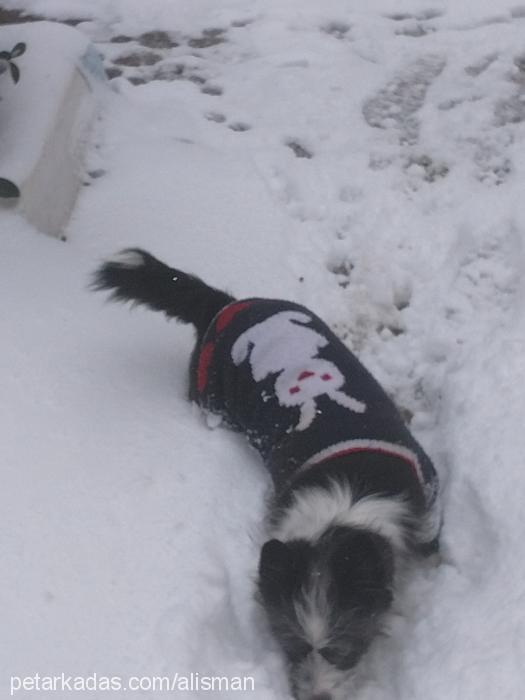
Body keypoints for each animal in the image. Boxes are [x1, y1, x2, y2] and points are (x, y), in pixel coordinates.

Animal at [92, 250, 440, 700]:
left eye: (342, 650)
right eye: (291, 646)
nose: (316, 697)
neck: (346, 508)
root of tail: (224, 305)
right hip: (209, 397)